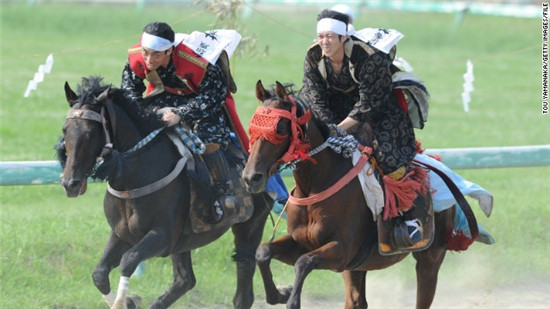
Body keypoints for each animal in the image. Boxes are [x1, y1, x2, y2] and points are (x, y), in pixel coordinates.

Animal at [59, 75, 274, 308]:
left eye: (91, 133)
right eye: (65, 130)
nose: (70, 182)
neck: (133, 178)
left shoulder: (163, 235)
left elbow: (129, 260)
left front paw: (125, 300)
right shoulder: (122, 233)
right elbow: (99, 274)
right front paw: (129, 301)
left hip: (250, 223)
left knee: (243, 283)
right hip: (184, 241)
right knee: (185, 280)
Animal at [245, 81, 458, 308]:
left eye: (280, 128)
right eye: (252, 125)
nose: (251, 177)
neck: (316, 184)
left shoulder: (342, 251)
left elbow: (304, 262)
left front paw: (291, 298)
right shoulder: (302, 242)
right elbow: (263, 251)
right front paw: (279, 294)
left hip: (430, 257)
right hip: (358, 268)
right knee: (357, 300)